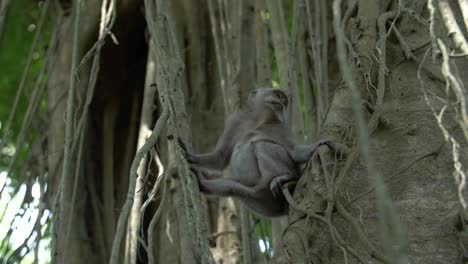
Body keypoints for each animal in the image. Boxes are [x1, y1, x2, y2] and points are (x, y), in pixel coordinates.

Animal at [177, 88, 334, 217]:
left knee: (262, 146)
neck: (259, 121)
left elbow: (294, 151)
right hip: (257, 197)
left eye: (283, 99)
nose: (281, 102)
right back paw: (203, 184)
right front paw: (191, 157)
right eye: (278, 95)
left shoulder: (279, 126)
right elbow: (220, 157)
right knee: (235, 188)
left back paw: (287, 177)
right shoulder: (235, 122)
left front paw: (318, 145)